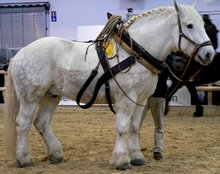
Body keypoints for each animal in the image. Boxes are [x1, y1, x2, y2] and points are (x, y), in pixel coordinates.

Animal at [4, 0, 215, 170]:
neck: (135, 53)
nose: (209, 54)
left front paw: (137, 156)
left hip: (51, 95)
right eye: (189, 25)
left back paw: (56, 154)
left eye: (203, 25)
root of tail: (20, 54)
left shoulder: (141, 100)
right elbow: (122, 127)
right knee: (22, 124)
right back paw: (24, 159)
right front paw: (122, 160)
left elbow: (134, 127)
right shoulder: (126, 99)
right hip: (30, 97)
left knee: (42, 122)